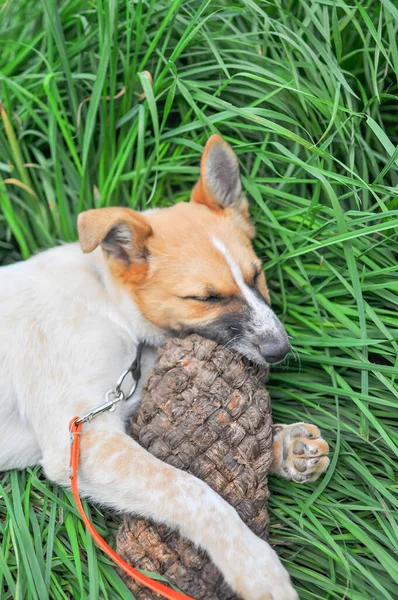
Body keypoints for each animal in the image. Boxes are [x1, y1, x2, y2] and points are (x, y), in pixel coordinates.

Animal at [0, 136, 330, 600]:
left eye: (256, 275)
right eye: (205, 297)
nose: (280, 350)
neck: (110, 306)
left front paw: (286, 447)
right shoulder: (81, 441)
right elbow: (191, 489)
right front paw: (255, 566)